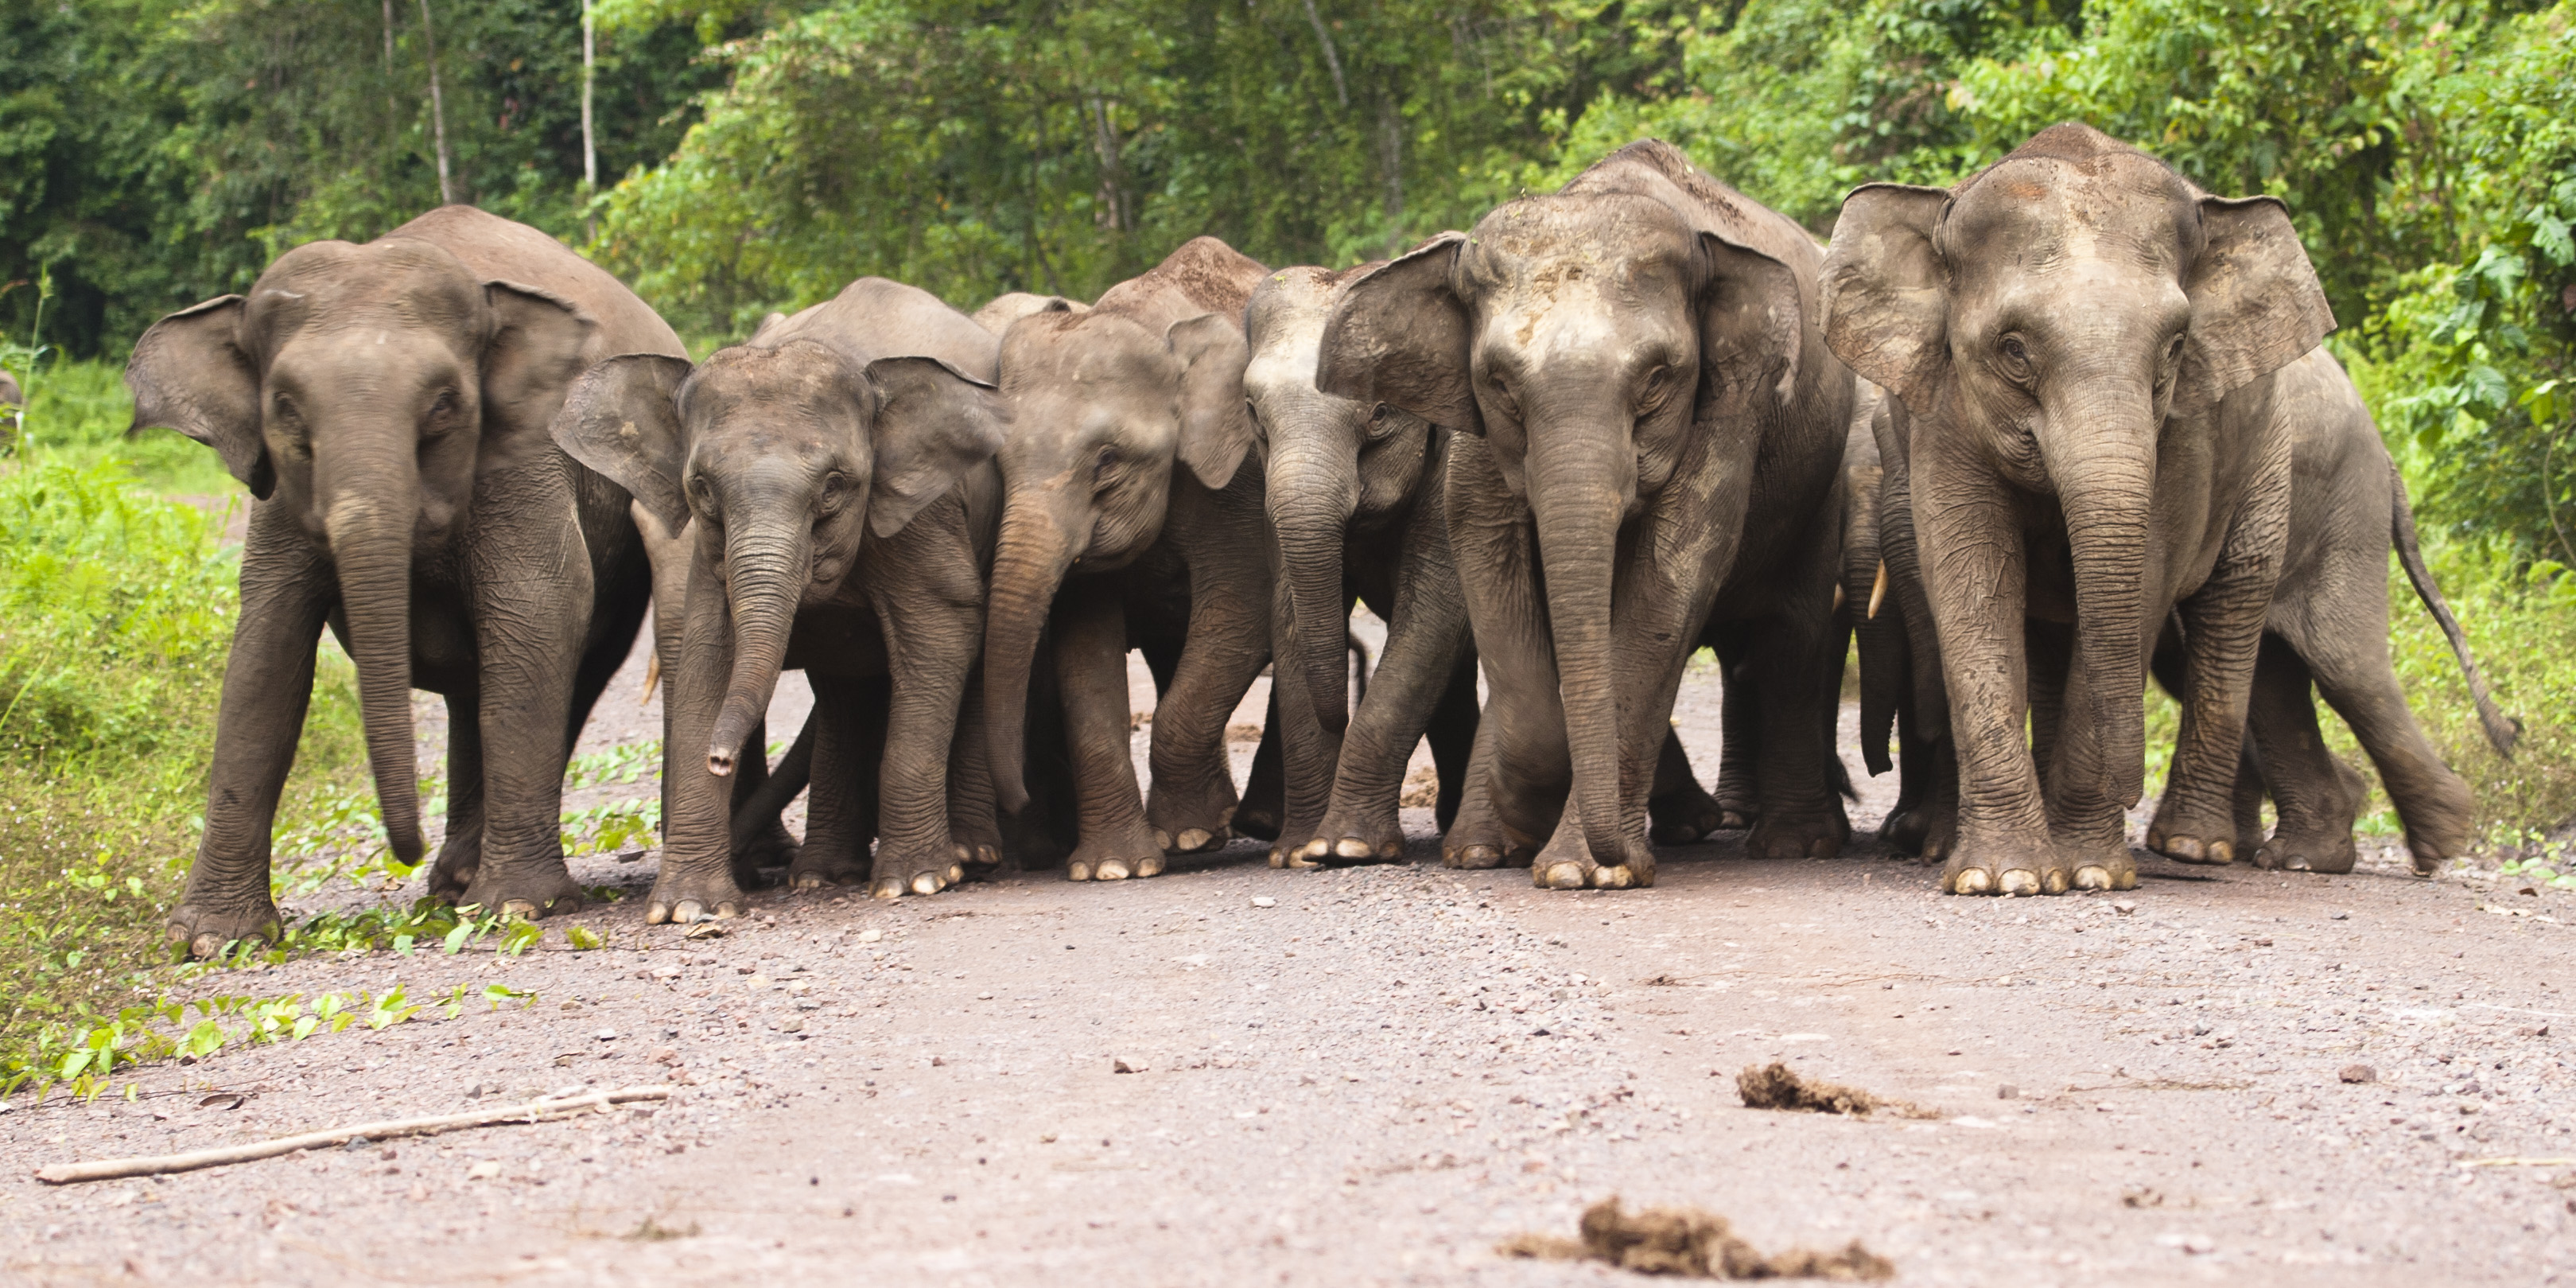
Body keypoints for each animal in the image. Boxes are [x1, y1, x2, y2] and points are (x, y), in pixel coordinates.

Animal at [126, 205, 679, 954]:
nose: (403, 852)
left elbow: (540, 609)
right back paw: (451, 883)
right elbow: (265, 651)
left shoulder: (526, 455)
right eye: (286, 409)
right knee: (475, 692)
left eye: (445, 404)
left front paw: (515, 907)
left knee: (568, 671)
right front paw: (212, 940)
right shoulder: (278, 497)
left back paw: (469, 885)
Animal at [553, 276, 1006, 918]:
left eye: (835, 486)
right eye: (701, 487)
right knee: (844, 687)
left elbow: (942, 629)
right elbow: (710, 655)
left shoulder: (923, 510)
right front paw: (688, 908)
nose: (720, 756)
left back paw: (968, 856)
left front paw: (916, 881)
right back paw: (820, 875)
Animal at [935, 237, 1275, 883]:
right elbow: (1084, 648)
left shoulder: (1239, 480)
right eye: (1000, 465)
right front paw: (1114, 868)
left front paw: (1180, 837)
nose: (1017, 797)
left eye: (1107, 462)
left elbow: (1240, 614)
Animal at [1318, 139, 1857, 891]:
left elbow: (1670, 576)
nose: (1605, 853)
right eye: (1498, 383)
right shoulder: (1473, 431)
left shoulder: (1728, 409)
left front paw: (1583, 870)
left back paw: (1792, 844)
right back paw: (1484, 847)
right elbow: (1484, 548)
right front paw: (1525, 835)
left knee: (1790, 636)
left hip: (1820, 484)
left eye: (1658, 379)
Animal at [1821, 123, 2341, 896]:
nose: (2129, 790)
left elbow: (2148, 575)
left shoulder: (2185, 430)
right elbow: (1972, 577)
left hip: (2266, 455)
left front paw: (2092, 871)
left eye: (2175, 346)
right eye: (2011, 350)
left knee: (2231, 608)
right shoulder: (1943, 407)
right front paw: (2004, 878)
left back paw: (2192, 847)